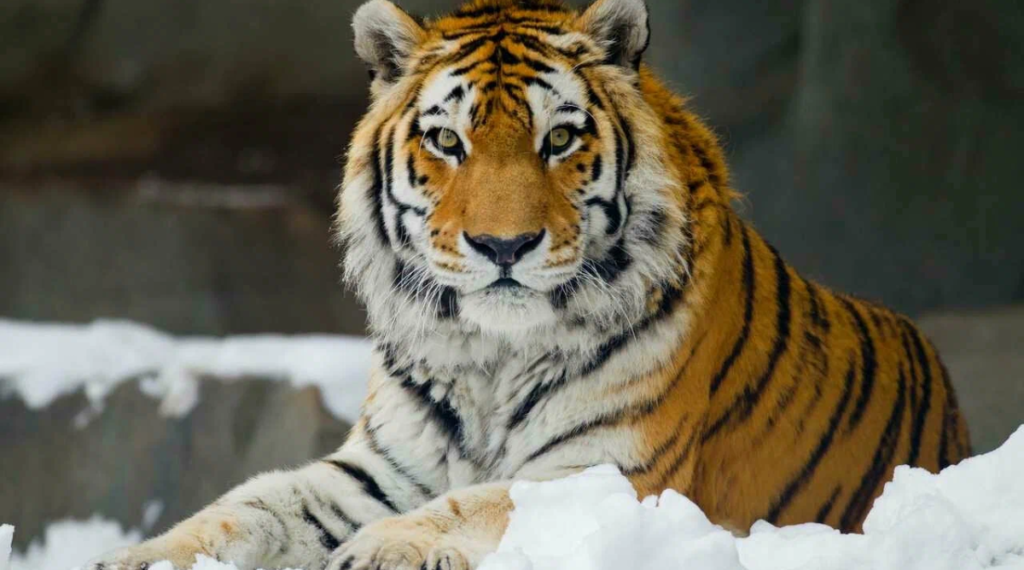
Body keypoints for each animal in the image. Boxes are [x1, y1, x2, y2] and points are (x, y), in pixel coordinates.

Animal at [86, 0, 971, 568]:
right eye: (447, 140)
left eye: (560, 140)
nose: (503, 244)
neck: (491, 354)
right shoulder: (380, 467)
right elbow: (251, 503)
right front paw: (142, 557)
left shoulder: (610, 471)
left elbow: (482, 500)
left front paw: (383, 548)